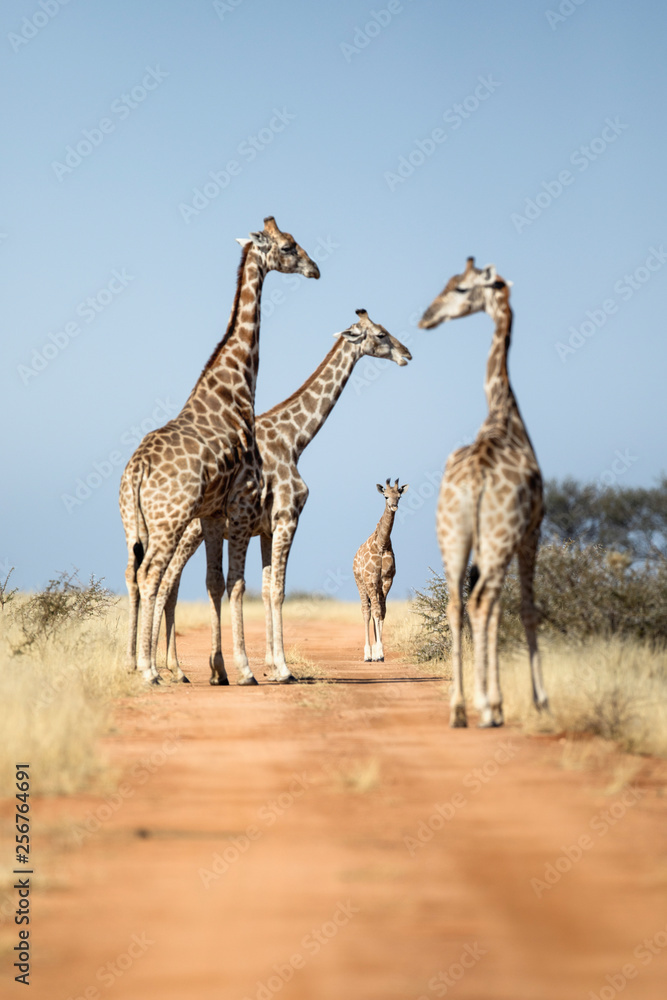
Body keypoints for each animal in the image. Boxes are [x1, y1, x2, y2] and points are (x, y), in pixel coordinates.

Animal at [119, 216, 320, 684]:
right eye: (288, 246)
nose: (315, 269)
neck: (236, 390)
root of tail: (137, 471)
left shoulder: (213, 513)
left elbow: (214, 582)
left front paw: (221, 669)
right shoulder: (244, 502)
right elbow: (239, 584)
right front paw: (245, 670)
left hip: (139, 524)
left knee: (138, 574)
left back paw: (141, 664)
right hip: (169, 520)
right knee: (152, 575)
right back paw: (149, 670)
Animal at [353, 479, 409, 662]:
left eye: (399, 496)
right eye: (385, 496)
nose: (394, 506)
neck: (382, 544)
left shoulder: (387, 579)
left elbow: (382, 612)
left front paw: (380, 653)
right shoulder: (371, 579)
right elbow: (376, 612)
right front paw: (377, 653)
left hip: (375, 585)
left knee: (374, 609)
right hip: (361, 583)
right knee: (366, 611)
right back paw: (367, 654)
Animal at [418, 256, 549, 727]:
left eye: (460, 288)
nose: (426, 317)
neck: (503, 414)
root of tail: (475, 481)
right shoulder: (532, 530)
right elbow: (525, 607)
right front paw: (536, 700)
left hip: (453, 536)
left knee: (459, 604)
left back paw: (459, 708)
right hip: (498, 536)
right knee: (481, 602)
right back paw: (488, 708)